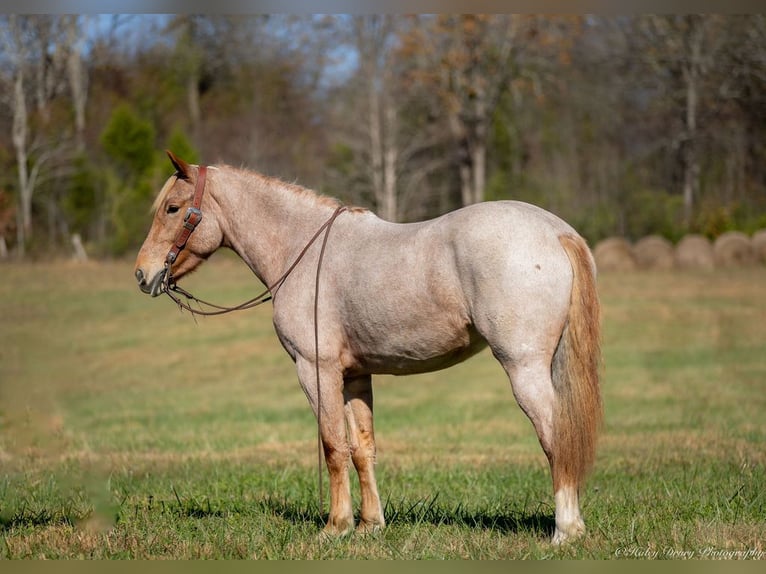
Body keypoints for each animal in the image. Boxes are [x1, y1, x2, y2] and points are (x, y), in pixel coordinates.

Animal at [135, 152, 604, 544]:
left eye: (172, 208)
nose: (143, 274)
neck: (301, 250)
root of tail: (556, 231)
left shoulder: (316, 370)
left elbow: (332, 446)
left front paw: (335, 526)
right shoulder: (355, 376)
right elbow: (362, 449)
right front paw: (369, 525)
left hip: (524, 367)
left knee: (556, 436)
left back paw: (565, 531)